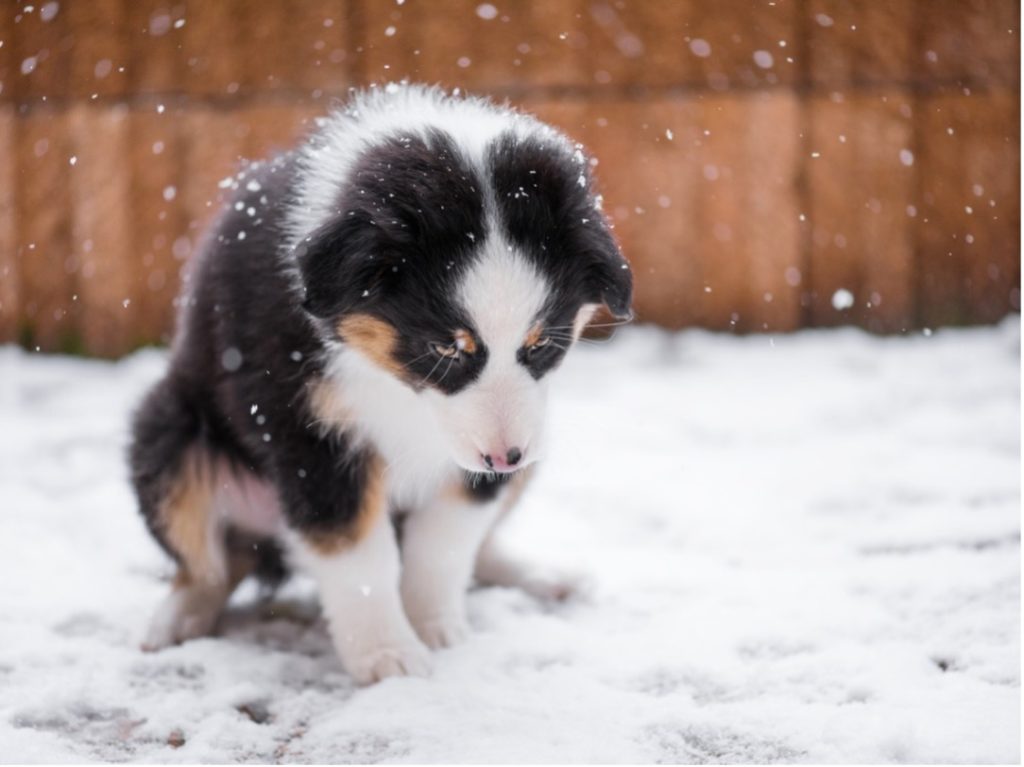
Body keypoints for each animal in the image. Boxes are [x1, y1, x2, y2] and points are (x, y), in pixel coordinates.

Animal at [130, 83, 630, 684]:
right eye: (446, 348)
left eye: (541, 346)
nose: (505, 458)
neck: (400, 386)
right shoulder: (312, 433)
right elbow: (358, 556)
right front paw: (388, 657)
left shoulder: (491, 443)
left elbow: (444, 542)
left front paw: (437, 629)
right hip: (167, 434)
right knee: (210, 562)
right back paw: (175, 620)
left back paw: (544, 575)